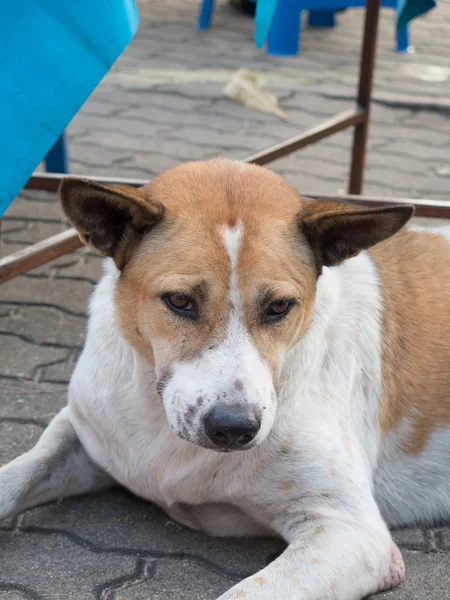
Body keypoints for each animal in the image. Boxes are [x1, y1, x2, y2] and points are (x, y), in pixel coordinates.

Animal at [0, 161, 450, 600]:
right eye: (180, 301)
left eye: (279, 306)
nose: (234, 428)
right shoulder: (84, 432)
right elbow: (19, 473)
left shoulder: (351, 533)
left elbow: (246, 593)